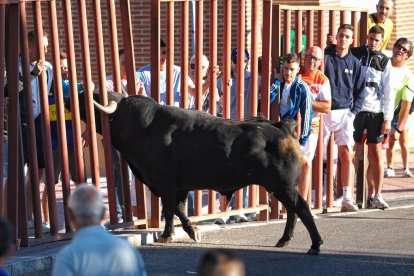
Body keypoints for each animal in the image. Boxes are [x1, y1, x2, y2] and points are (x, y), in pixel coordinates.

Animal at [69, 91, 324, 254]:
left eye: (95, 99)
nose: (74, 94)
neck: (145, 127)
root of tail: (282, 127)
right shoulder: (180, 186)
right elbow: (179, 209)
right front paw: (193, 231)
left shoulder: (166, 183)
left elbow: (169, 209)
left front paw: (167, 235)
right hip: (279, 188)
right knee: (292, 212)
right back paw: (284, 240)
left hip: (283, 186)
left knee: (301, 208)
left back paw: (315, 244)